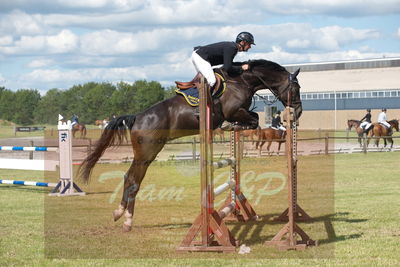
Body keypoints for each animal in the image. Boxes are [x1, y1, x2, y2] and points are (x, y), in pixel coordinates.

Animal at [79, 58, 304, 232]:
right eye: (296, 88)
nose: (299, 111)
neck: (242, 81)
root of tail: (137, 117)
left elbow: (254, 119)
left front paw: (234, 127)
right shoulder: (234, 111)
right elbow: (254, 119)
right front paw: (232, 125)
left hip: (146, 153)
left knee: (128, 177)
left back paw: (120, 214)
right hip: (146, 153)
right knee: (133, 180)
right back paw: (125, 219)